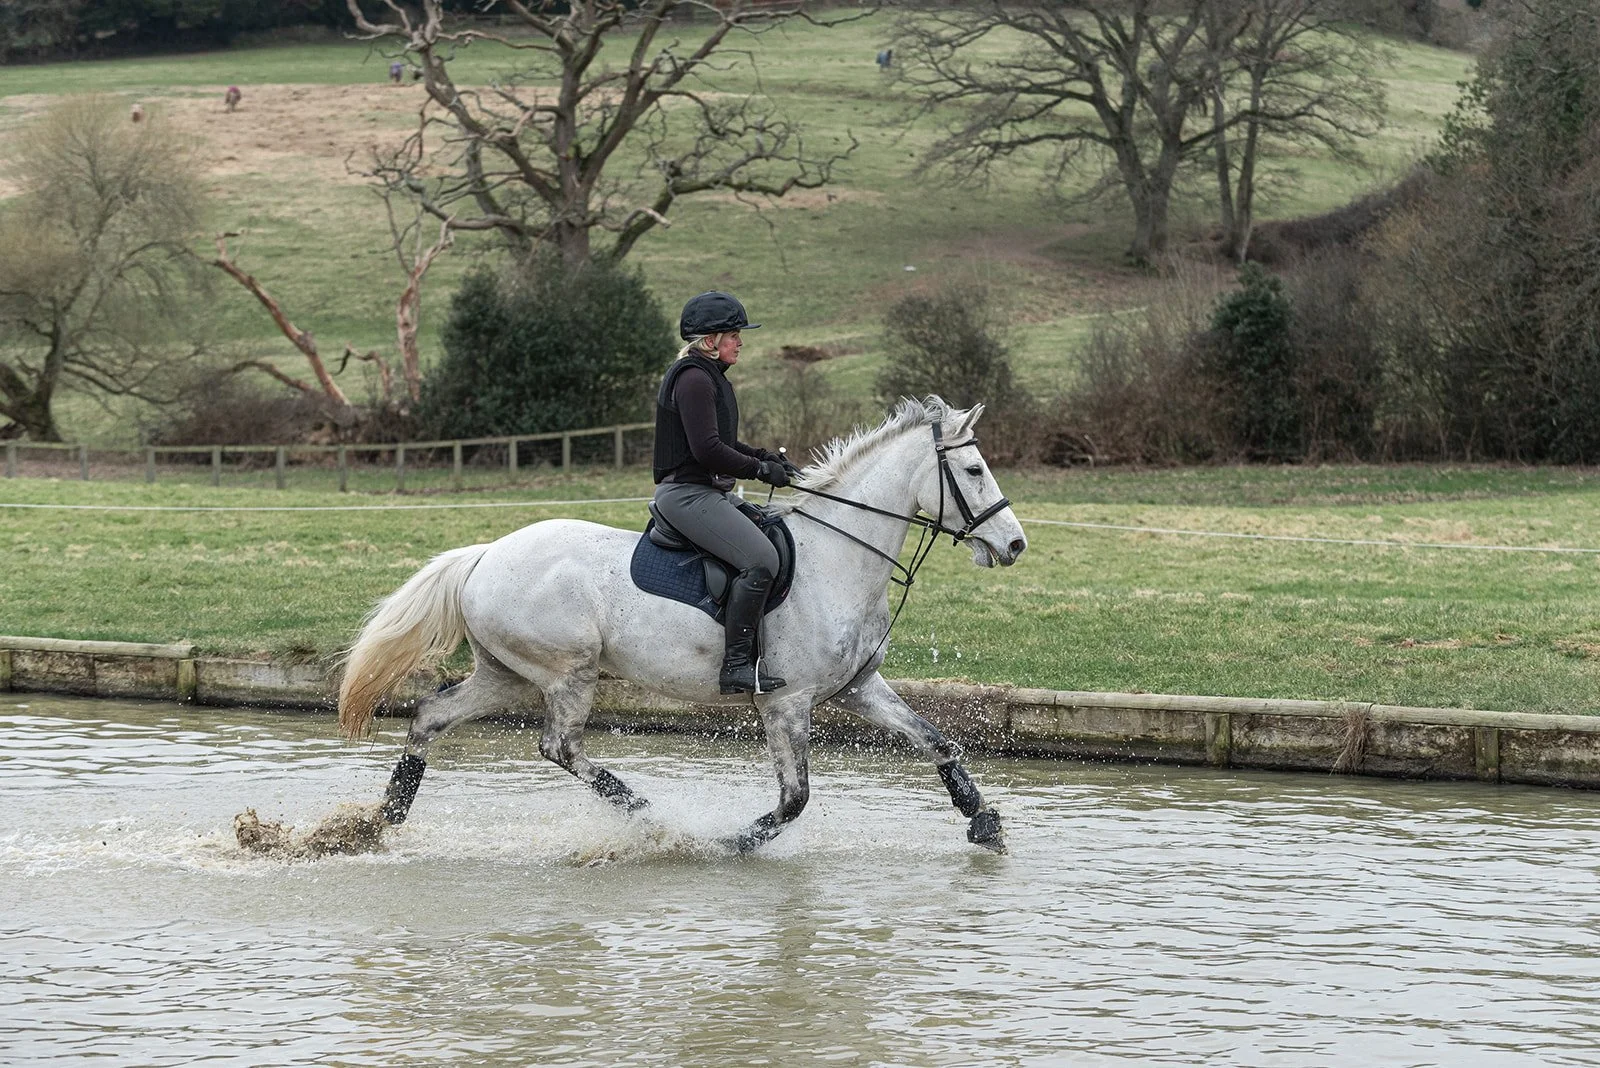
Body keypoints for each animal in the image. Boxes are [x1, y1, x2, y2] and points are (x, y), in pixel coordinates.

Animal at [338, 396, 1028, 853]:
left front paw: (983, 821)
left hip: (506, 673)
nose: (1015, 545)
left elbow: (936, 741)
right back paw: (652, 818)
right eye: (973, 471)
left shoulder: (857, 689)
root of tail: (484, 554)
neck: (840, 556)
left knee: (432, 715)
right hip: (568, 672)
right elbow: (794, 799)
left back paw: (383, 820)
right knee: (560, 747)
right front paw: (729, 844)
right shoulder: (786, 702)